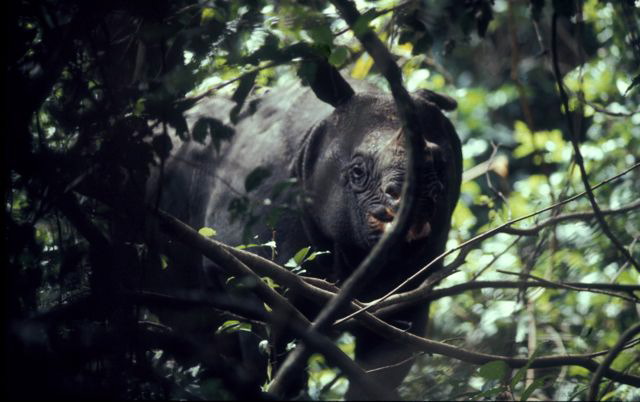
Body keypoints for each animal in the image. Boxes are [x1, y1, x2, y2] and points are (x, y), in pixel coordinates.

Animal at [147, 64, 462, 399]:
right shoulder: (243, 263)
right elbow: (266, 344)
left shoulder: (413, 286)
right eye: (357, 172)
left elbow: (383, 365)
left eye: (441, 165)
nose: (413, 198)